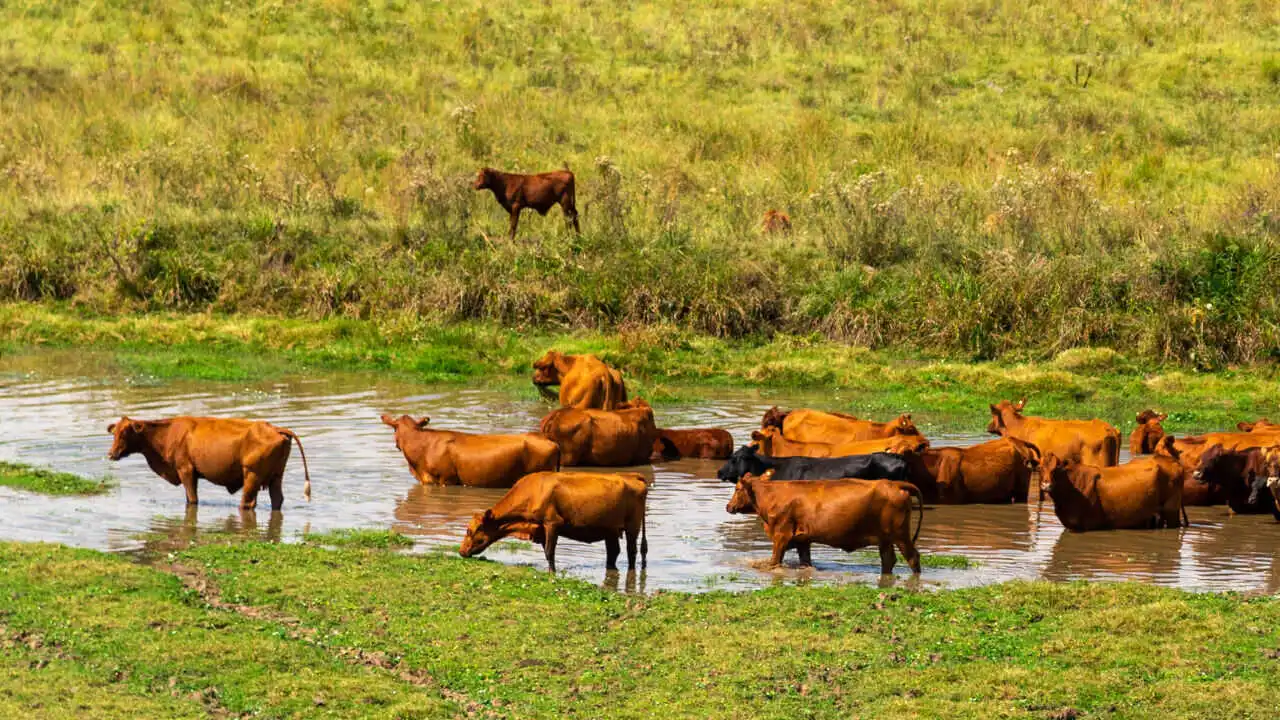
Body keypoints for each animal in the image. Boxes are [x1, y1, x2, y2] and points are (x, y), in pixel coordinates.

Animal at [106, 416, 312, 510]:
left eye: (125, 433)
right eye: (114, 432)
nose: (111, 453)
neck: (169, 433)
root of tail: (274, 428)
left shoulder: (186, 470)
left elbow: (192, 499)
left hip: (252, 475)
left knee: (247, 502)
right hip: (276, 476)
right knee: (277, 499)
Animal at [458, 471, 648, 571]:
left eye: (470, 530)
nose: (461, 551)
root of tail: (632, 476)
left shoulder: (552, 523)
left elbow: (550, 551)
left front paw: (552, 572)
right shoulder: (541, 529)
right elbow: (546, 551)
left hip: (633, 525)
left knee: (632, 551)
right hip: (611, 530)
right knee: (613, 552)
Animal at [725, 471, 924, 574]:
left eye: (737, 488)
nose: (728, 506)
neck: (771, 495)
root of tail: (893, 484)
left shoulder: (781, 536)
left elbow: (774, 561)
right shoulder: (802, 539)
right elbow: (805, 562)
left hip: (900, 535)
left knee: (912, 557)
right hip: (885, 538)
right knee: (888, 560)